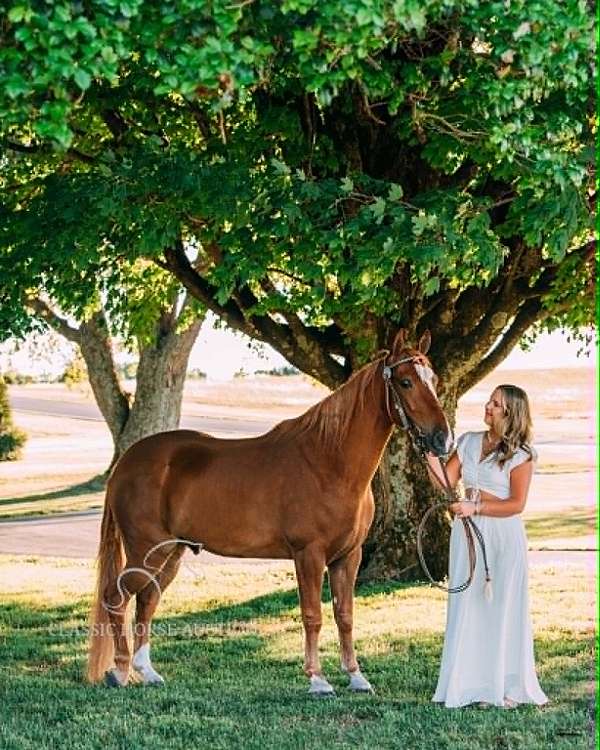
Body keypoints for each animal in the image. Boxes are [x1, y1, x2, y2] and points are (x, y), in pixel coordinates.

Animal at [87, 329, 453, 695]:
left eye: (434, 379)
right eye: (405, 382)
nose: (442, 440)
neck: (329, 462)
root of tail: (126, 463)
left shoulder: (348, 557)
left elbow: (345, 615)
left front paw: (356, 677)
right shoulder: (309, 555)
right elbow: (312, 615)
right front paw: (317, 680)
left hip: (170, 553)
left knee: (147, 600)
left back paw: (147, 671)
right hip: (145, 551)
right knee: (116, 597)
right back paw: (119, 671)